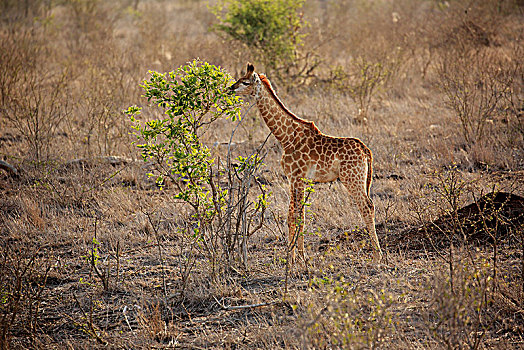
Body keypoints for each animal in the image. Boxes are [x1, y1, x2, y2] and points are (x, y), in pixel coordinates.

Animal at [231, 63, 382, 262]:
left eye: (245, 82)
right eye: (239, 79)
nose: (231, 88)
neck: (286, 137)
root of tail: (366, 152)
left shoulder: (299, 177)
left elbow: (299, 215)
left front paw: (301, 258)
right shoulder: (291, 178)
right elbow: (290, 216)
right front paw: (291, 257)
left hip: (352, 179)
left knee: (367, 206)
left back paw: (378, 257)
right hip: (361, 180)